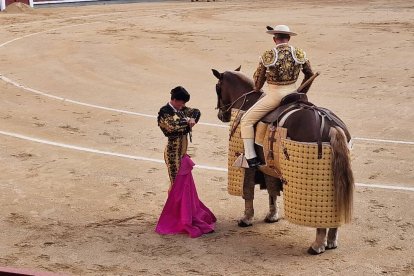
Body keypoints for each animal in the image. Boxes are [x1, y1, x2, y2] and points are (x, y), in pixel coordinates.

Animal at [212, 66, 354, 254]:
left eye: (217, 87)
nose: (221, 114)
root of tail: (332, 126)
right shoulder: (269, 165)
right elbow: (272, 190)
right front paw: (272, 216)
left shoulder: (247, 165)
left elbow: (248, 192)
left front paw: (246, 219)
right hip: (336, 177)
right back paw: (331, 241)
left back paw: (317, 245)